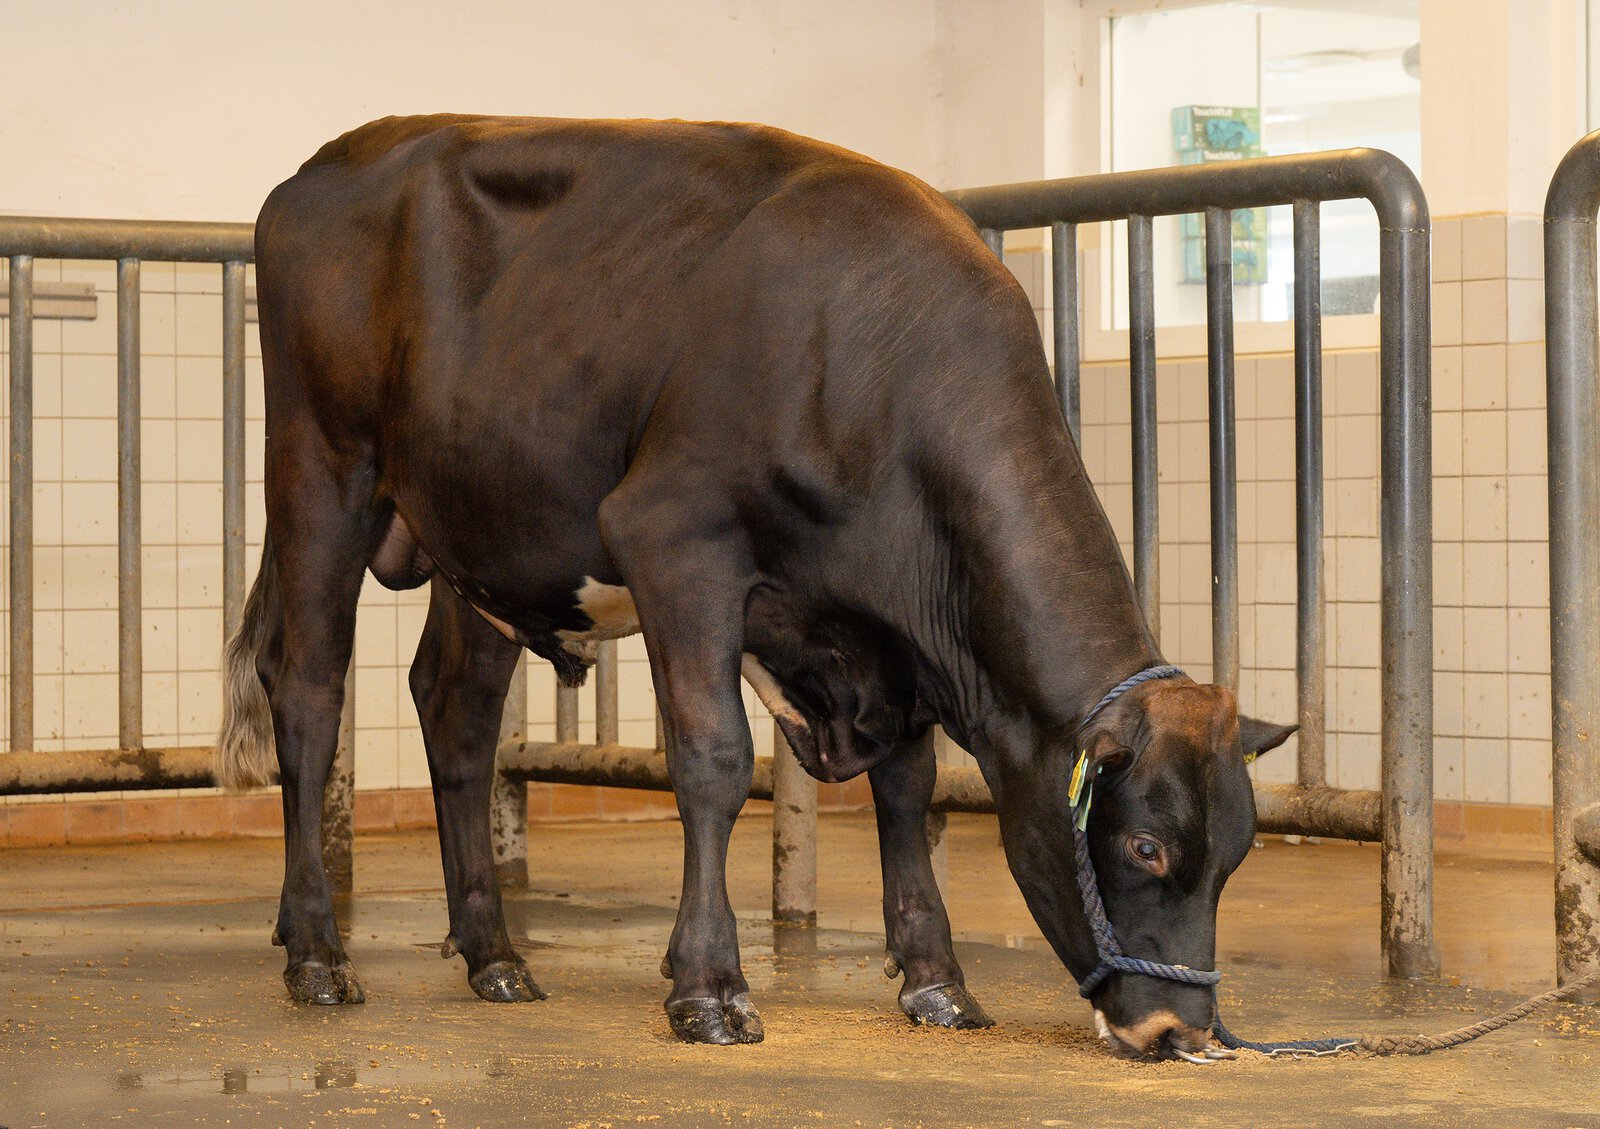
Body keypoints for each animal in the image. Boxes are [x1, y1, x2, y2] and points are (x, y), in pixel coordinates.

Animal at [215, 114, 1293, 1059]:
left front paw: (936, 978)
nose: (1179, 1031)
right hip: (321, 467)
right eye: (1145, 846)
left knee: (459, 715)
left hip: (478, 530)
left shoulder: (892, 638)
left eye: (1237, 852)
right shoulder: (677, 541)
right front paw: (709, 986)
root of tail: (330, 161)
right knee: (309, 694)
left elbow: (905, 789)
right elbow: (715, 761)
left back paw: (495, 956)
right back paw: (318, 952)